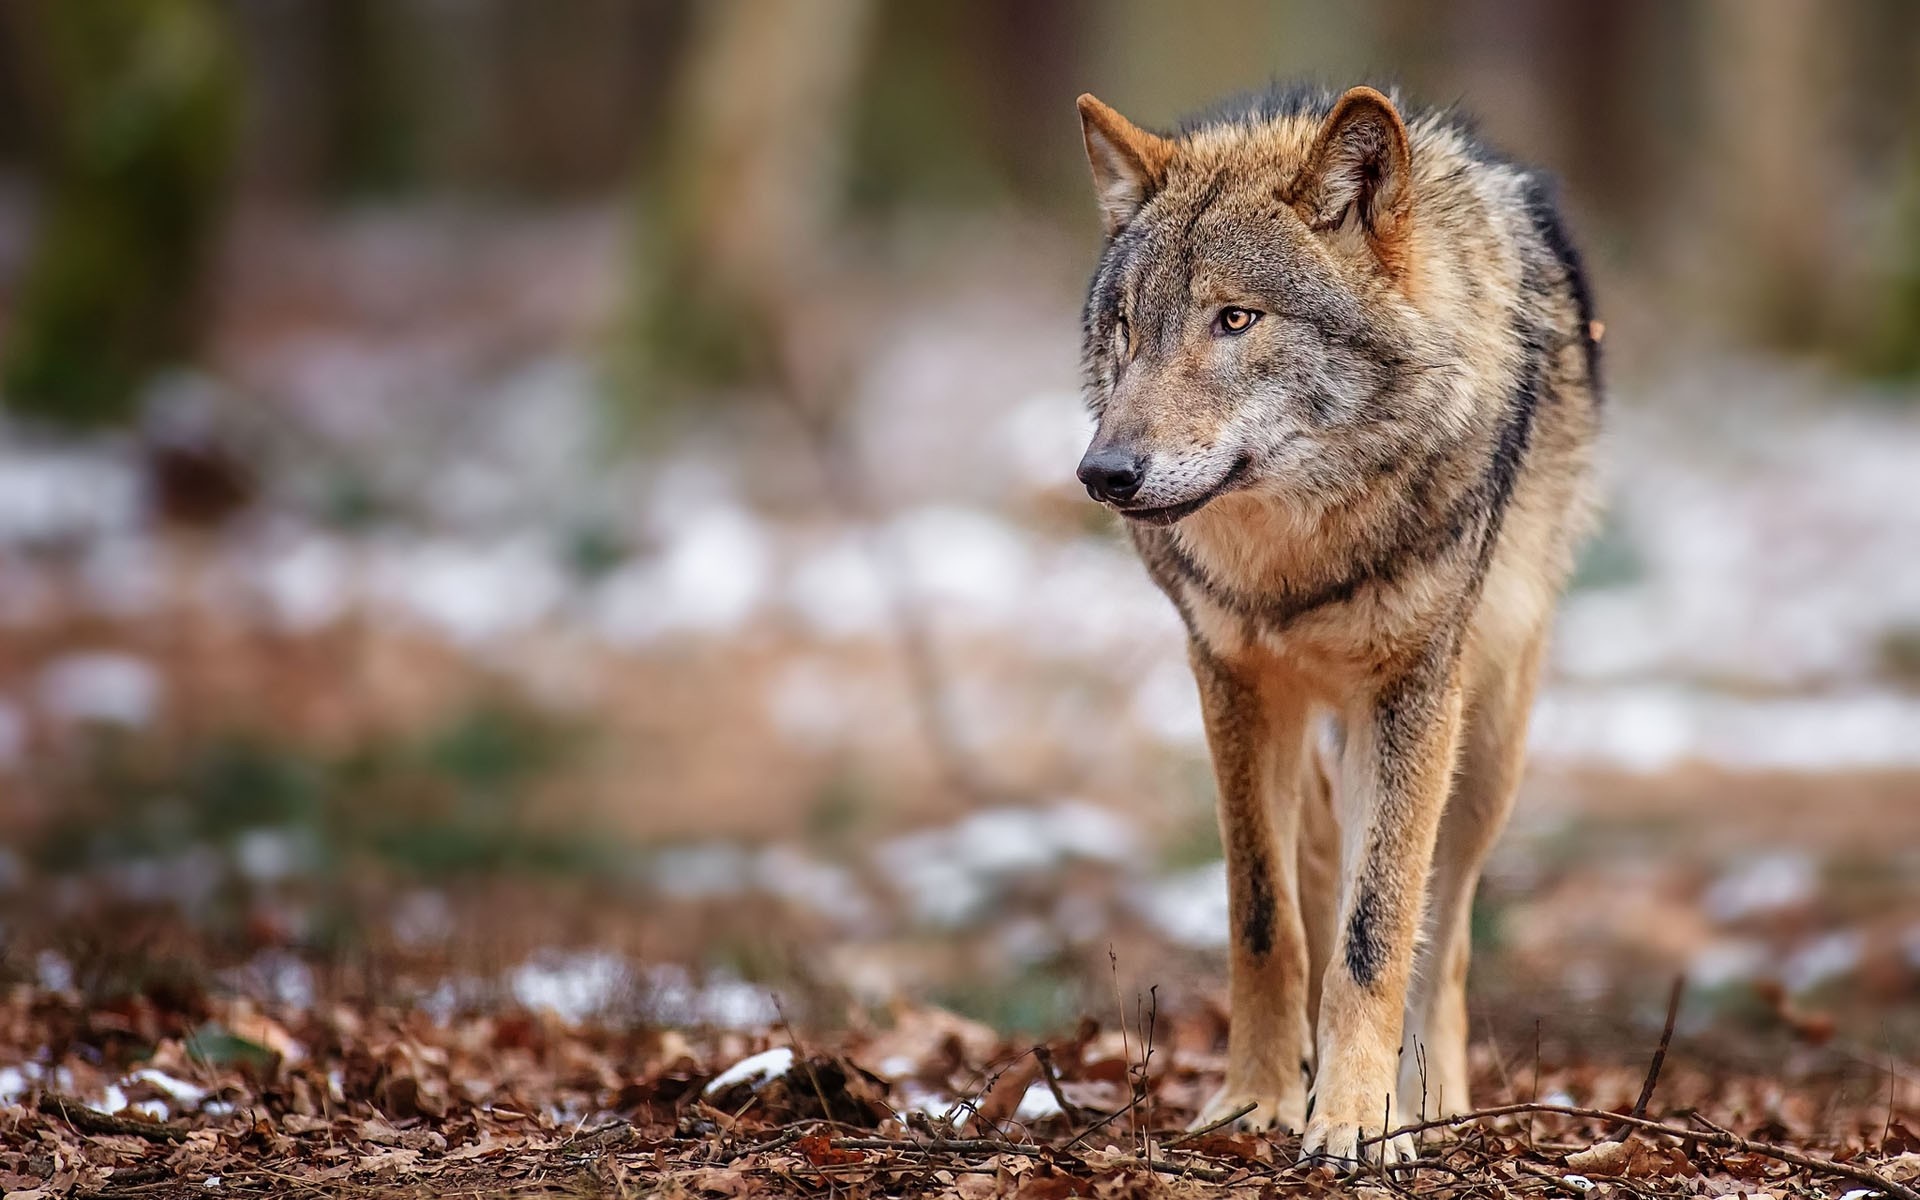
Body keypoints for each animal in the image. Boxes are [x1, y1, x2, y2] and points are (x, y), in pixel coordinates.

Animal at [1071, 84, 1600, 1164]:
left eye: (1235, 319)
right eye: (1127, 327)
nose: (1103, 473)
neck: (1296, 560)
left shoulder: (1412, 693)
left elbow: (1378, 928)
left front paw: (1360, 1118)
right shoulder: (1230, 680)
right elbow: (1264, 917)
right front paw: (1257, 1100)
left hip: (1485, 745)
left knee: (1447, 927)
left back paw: (1430, 1094)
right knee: (1316, 865)